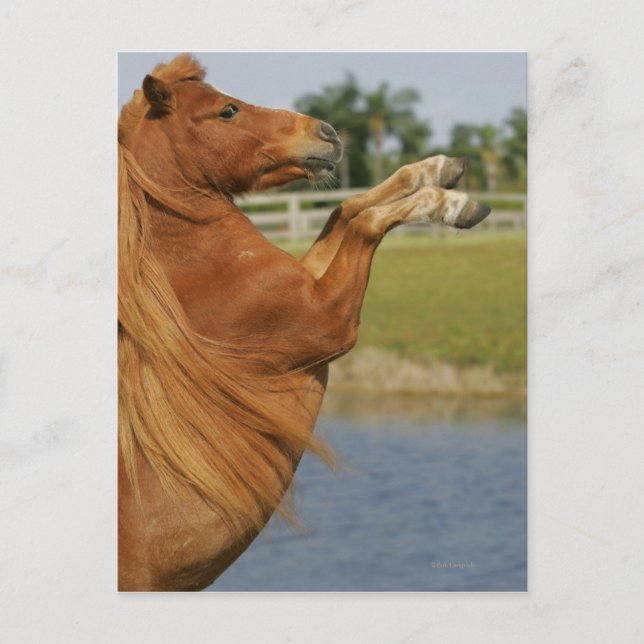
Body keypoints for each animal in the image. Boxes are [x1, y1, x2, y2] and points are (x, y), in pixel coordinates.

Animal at [118, 54, 490, 591]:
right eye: (227, 111)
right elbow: (364, 221)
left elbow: (346, 207)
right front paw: (455, 204)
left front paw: (441, 168)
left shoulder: (310, 281)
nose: (329, 133)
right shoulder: (328, 320)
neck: (193, 268)